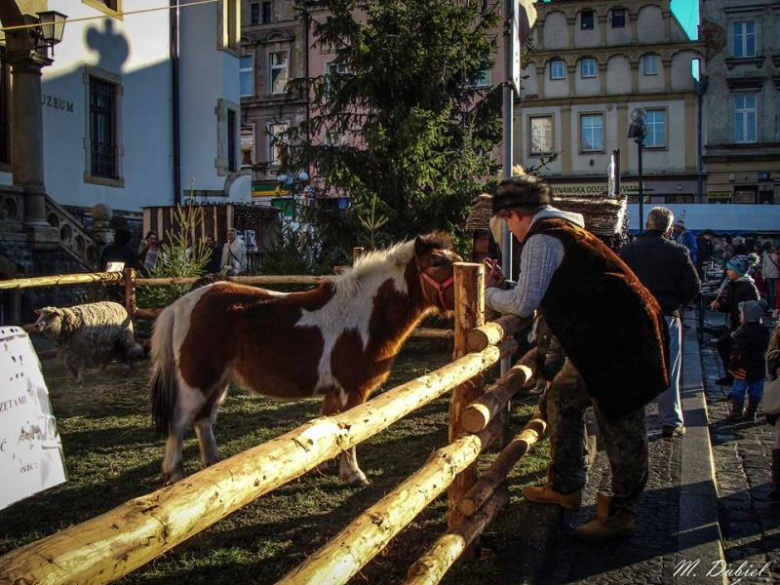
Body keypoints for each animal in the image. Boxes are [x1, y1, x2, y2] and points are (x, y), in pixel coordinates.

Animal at [149, 233, 460, 484]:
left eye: (456, 259)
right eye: (435, 262)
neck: (363, 315)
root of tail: (183, 303)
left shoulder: (335, 392)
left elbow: (333, 427)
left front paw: (324, 466)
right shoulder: (353, 391)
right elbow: (351, 431)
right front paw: (353, 474)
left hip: (218, 382)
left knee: (203, 420)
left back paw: (212, 465)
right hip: (196, 382)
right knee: (178, 422)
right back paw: (175, 473)